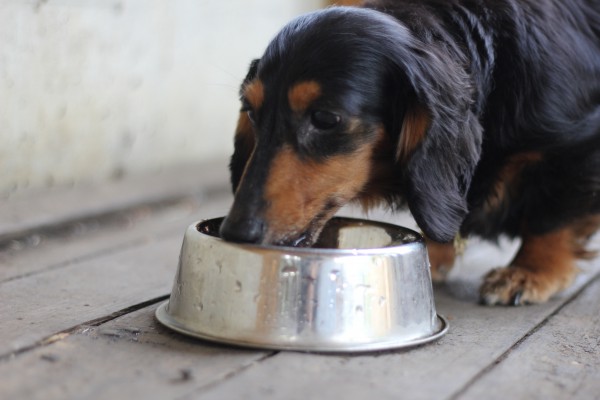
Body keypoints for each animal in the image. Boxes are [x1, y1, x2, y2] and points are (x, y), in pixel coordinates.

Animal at [219, 0, 600, 306]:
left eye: (325, 118)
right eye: (251, 112)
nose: (235, 232)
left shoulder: (577, 148)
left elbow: (550, 219)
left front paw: (529, 272)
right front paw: (432, 254)